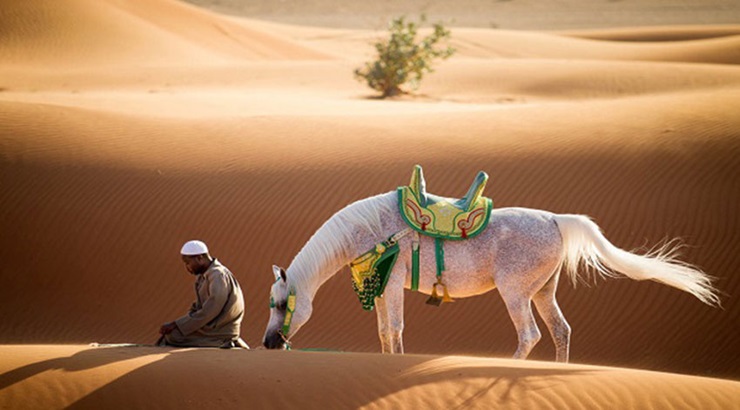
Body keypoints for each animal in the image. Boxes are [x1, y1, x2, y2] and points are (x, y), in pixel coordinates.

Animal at [264, 191, 720, 360]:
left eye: (283, 303)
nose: (269, 343)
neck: (369, 229)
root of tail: (556, 219)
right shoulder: (380, 287)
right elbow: (383, 332)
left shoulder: (391, 285)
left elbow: (394, 329)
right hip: (544, 291)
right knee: (561, 331)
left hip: (516, 293)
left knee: (530, 335)